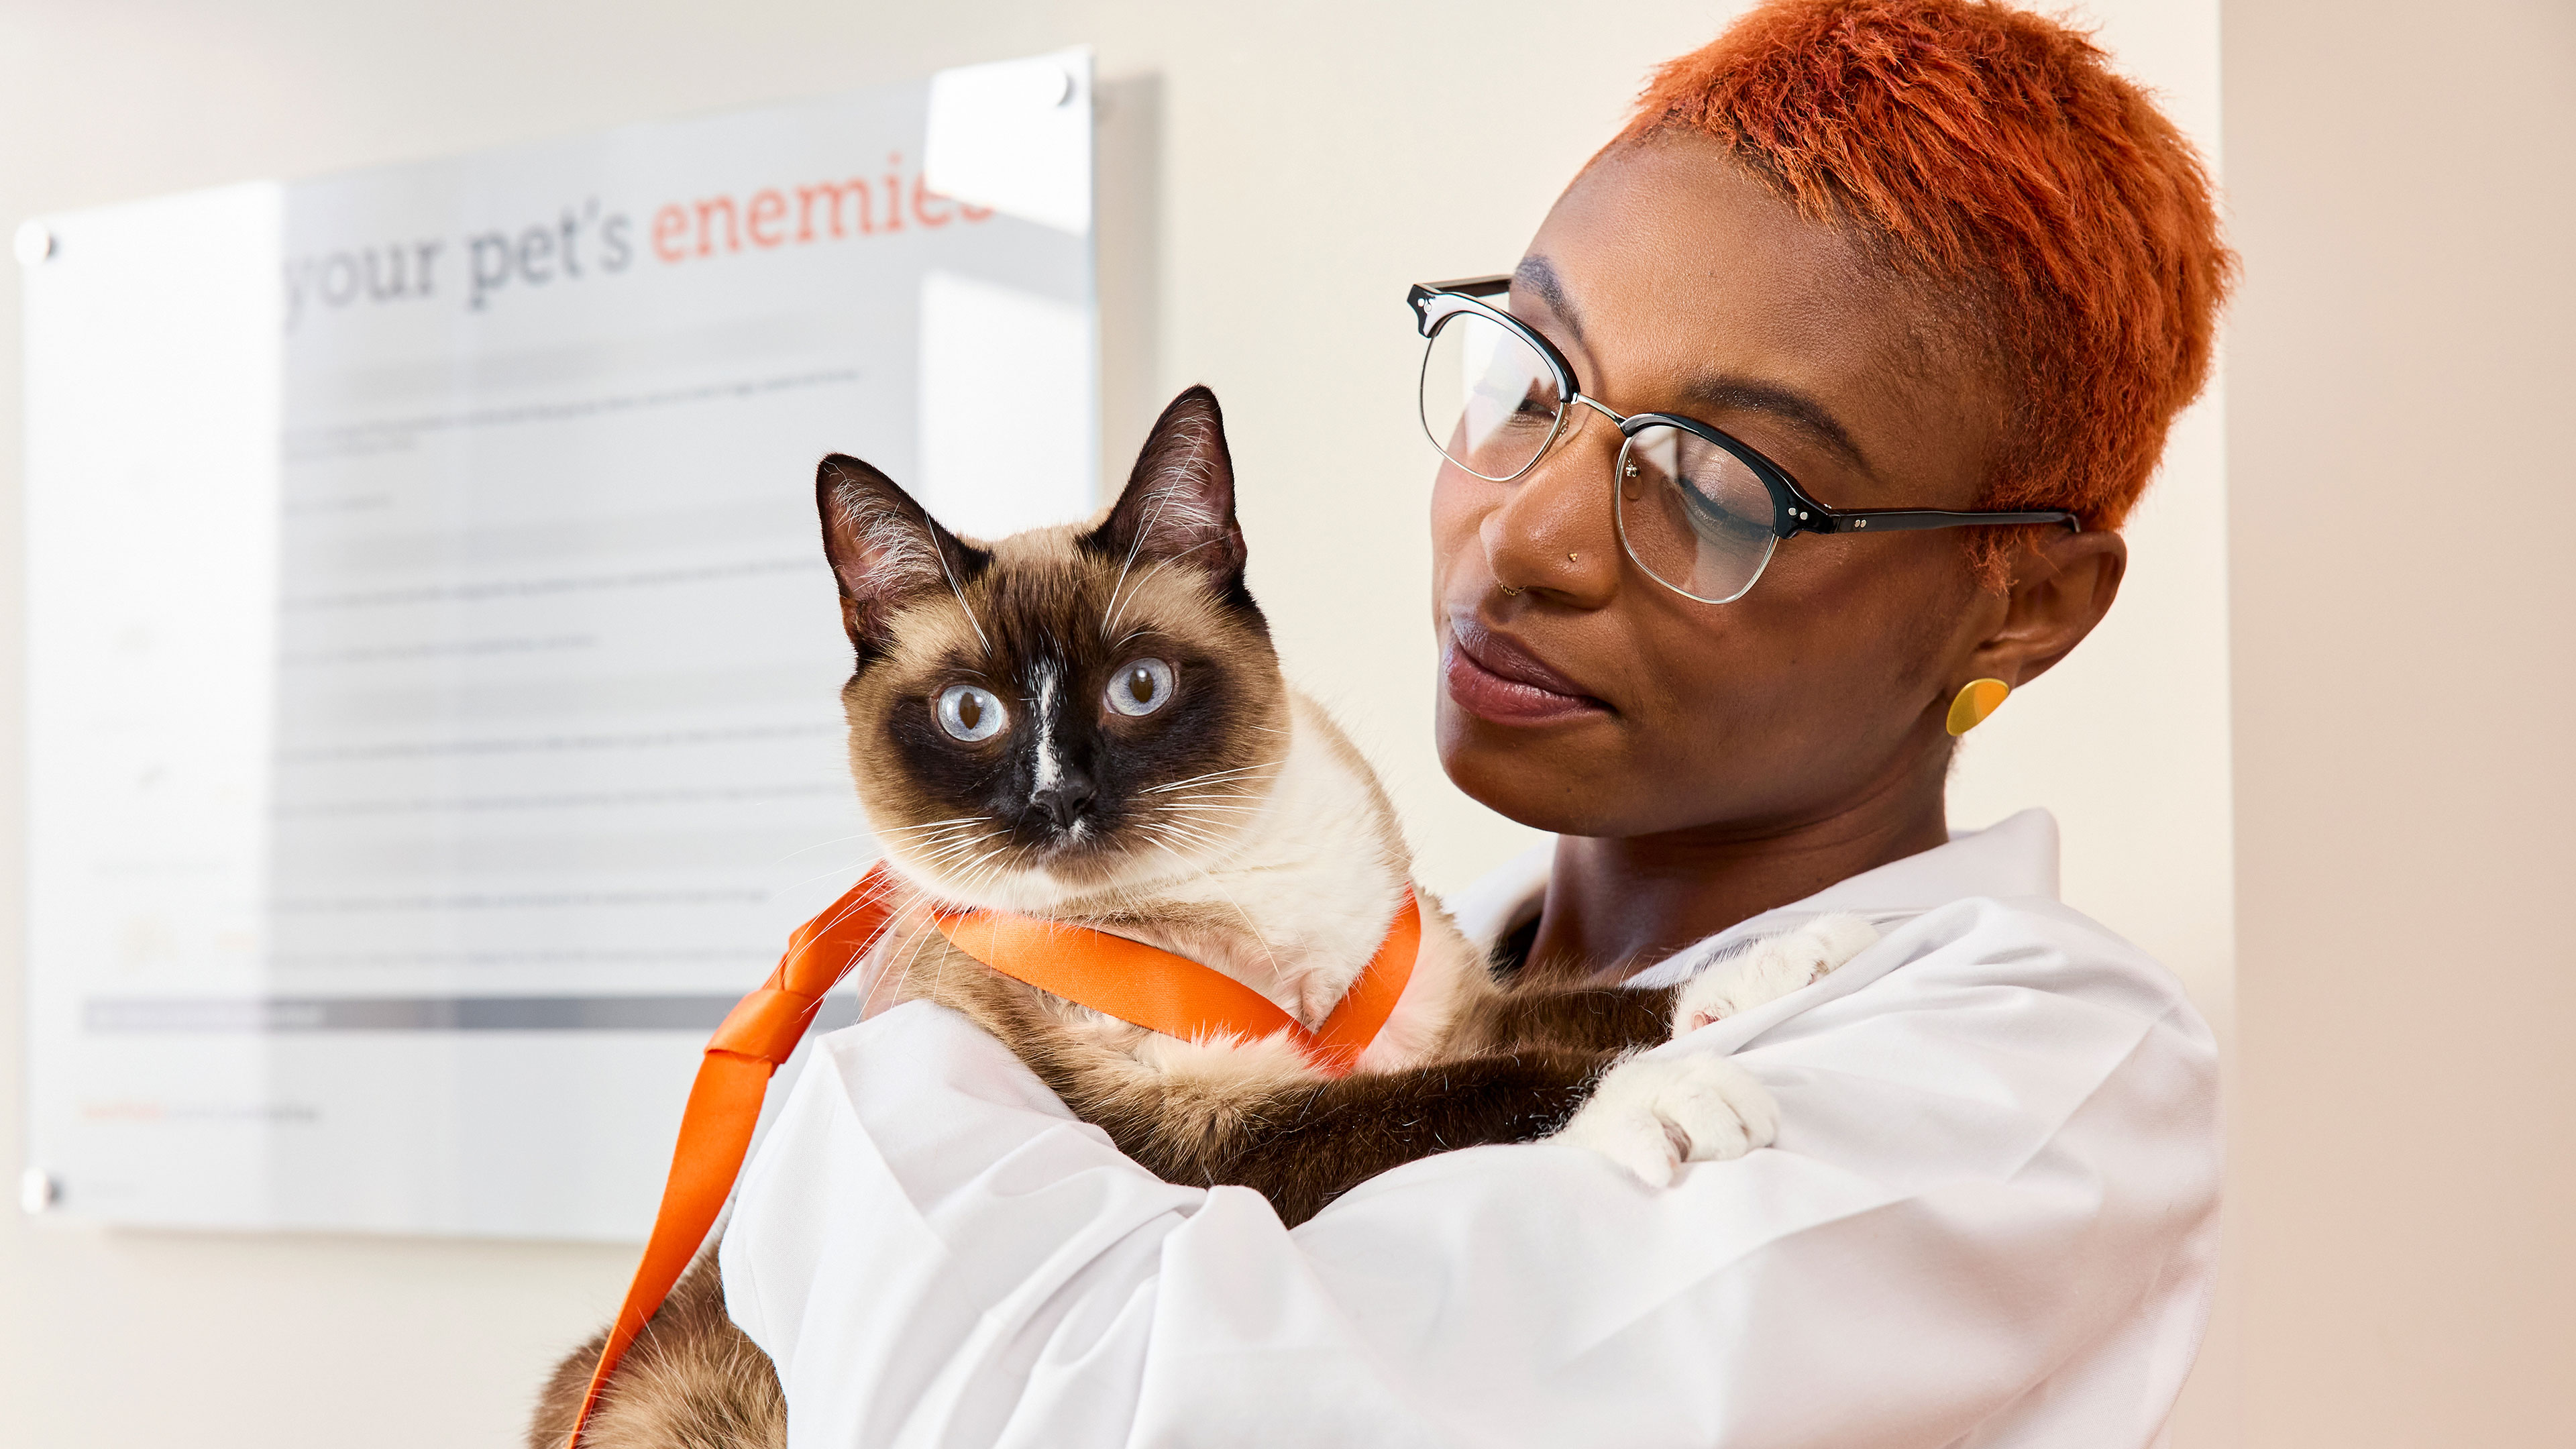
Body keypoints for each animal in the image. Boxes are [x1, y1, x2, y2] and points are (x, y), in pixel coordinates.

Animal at [538, 384, 1875, 1444]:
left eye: (1139, 688)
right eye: (973, 715)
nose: (1060, 798)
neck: (1226, 898)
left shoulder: (1443, 1020)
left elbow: (1598, 1009)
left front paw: (1780, 966)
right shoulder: (1202, 1134)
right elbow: (1473, 1098)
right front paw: (1672, 1101)